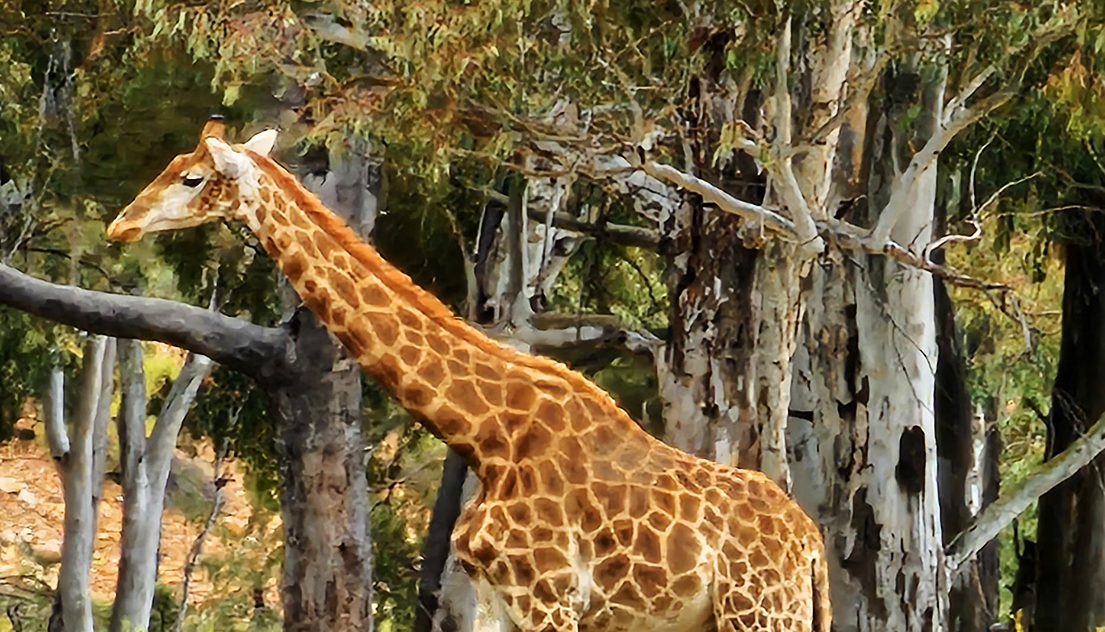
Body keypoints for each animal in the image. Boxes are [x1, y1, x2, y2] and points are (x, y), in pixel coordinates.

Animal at [107, 118, 832, 632]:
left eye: (192, 178)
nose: (121, 224)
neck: (486, 434)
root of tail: (812, 549)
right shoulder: (493, 599)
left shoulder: (549, 600)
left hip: (759, 614)